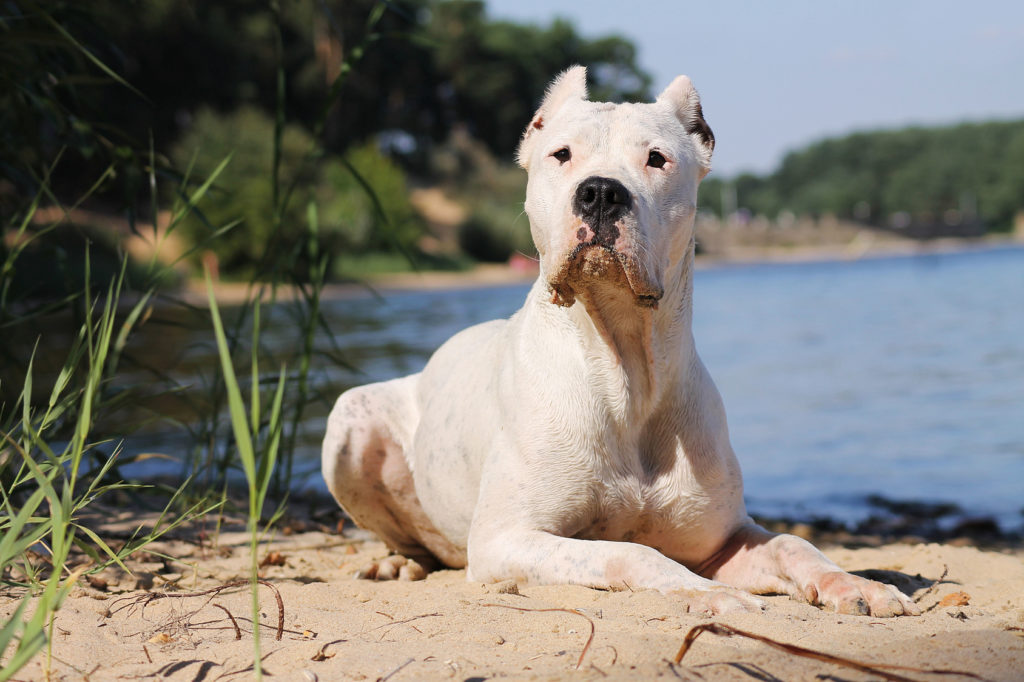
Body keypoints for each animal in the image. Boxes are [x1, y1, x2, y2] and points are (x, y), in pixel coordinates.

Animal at [321, 66, 921, 614]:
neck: (625, 370)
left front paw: (855, 585)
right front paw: (706, 593)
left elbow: (794, 545)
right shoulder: (504, 540)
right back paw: (396, 562)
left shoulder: (723, 538)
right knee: (409, 536)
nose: (601, 192)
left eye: (657, 158)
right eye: (561, 154)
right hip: (350, 421)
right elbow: (629, 552)